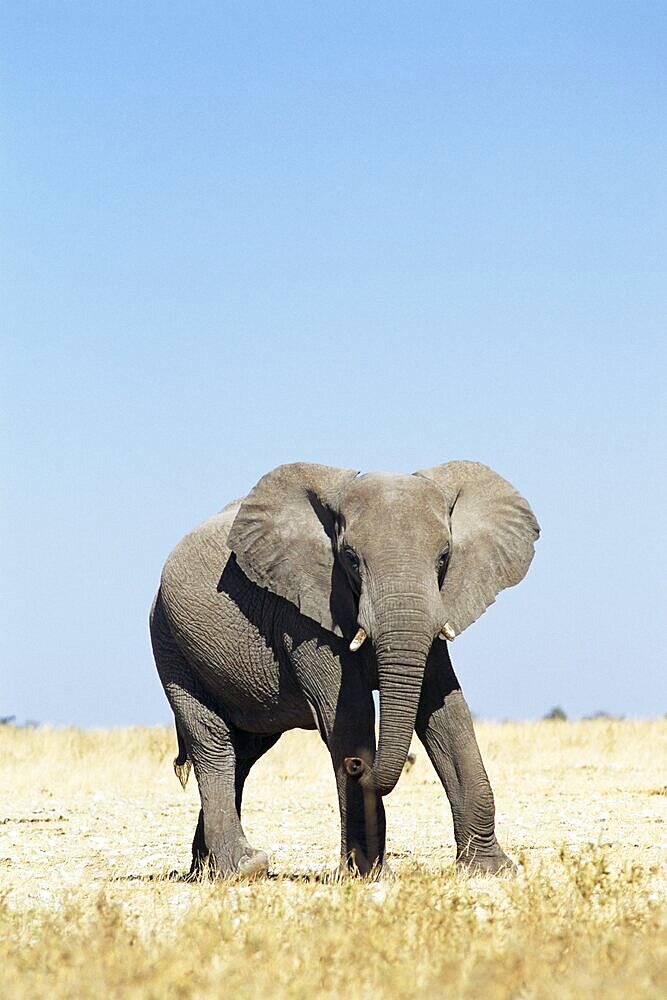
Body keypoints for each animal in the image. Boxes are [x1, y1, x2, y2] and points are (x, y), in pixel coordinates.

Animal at [150, 460, 536, 876]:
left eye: (444, 557)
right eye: (350, 558)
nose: (356, 765)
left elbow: (447, 715)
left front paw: (492, 870)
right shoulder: (303, 611)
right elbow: (350, 717)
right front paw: (367, 875)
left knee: (246, 751)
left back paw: (203, 870)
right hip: (170, 643)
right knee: (214, 744)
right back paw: (242, 868)